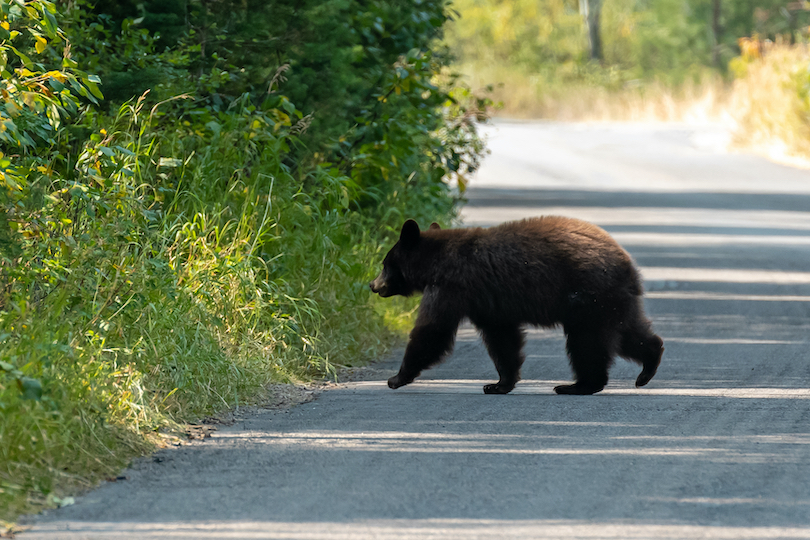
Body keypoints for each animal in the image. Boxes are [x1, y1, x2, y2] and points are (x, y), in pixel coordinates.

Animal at [370, 216, 660, 396]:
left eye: (385, 263)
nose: (373, 285)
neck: (434, 262)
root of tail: (627, 263)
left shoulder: (451, 286)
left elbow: (432, 331)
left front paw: (396, 378)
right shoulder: (487, 304)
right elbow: (502, 339)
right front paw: (499, 384)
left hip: (589, 297)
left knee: (588, 342)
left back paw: (578, 385)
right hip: (612, 302)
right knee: (630, 333)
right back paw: (648, 367)